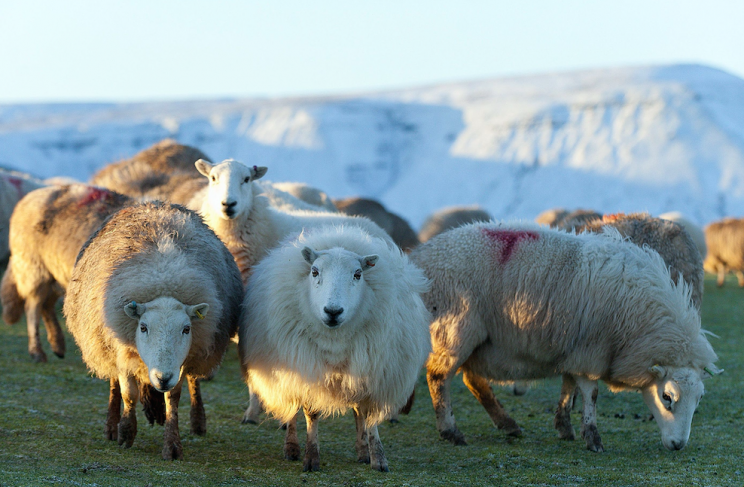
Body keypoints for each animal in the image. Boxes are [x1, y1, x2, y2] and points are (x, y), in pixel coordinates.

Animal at [0, 183, 134, 362]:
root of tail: (34, 194)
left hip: (56, 272)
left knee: (47, 305)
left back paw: (58, 345)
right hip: (33, 266)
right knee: (33, 306)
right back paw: (37, 352)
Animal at [63, 200, 243, 460]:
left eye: (186, 329)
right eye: (143, 327)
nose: (162, 377)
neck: (163, 277)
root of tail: (153, 202)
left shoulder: (183, 358)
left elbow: (173, 397)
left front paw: (172, 444)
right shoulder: (122, 348)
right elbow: (128, 393)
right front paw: (126, 433)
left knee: (194, 382)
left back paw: (198, 422)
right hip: (103, 342)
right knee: (113, 383)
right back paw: (111, 426)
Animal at [240, 226, 430, 472]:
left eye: (357, 274)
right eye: (314, 272)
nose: (333, 311)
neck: (335, 340)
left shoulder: (373, 372)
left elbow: (369, 415)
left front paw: (378, 457)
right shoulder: (309, 371)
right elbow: (311, 413)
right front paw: (311, 458)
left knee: (358, 412)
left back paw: (362, 451)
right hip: (289, 365)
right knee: (292, 409)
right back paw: (291, 447)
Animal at [410, 221, 724, 454]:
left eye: (699, 400)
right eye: (667, 397)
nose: (678, 445)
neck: (639, 321)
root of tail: (418, 259)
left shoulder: (574, 348)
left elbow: (568, 385)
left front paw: (564, 426)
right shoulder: (591, 349)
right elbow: (590, 393)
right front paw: (592, 437)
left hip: (480, 340)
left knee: (472, 380)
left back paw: (507, 423)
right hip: (456, 329)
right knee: (438, 377)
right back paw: (451, 431)